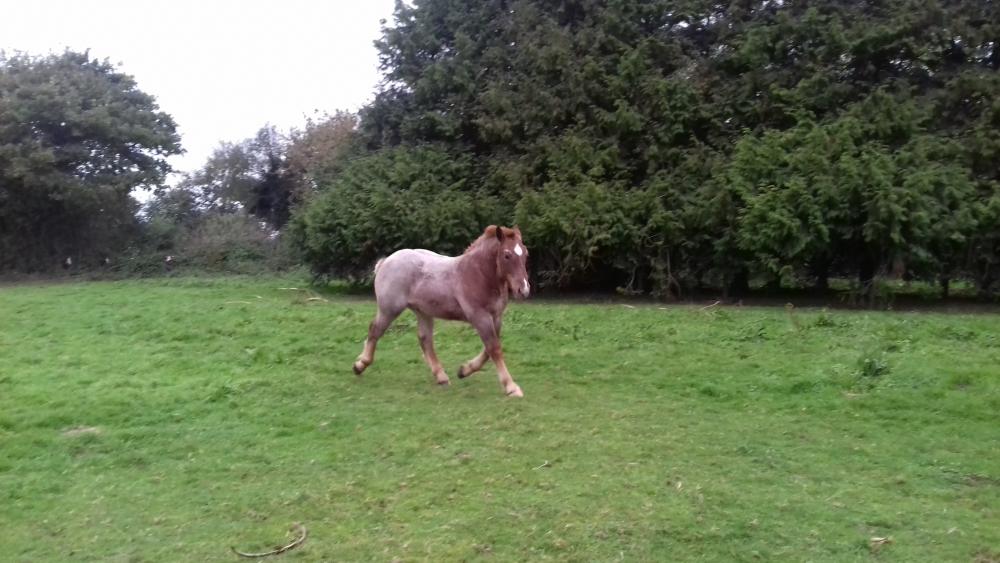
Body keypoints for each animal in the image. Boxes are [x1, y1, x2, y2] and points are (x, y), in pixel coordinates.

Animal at [352, 225, 531, 397]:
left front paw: (463, 370)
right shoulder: (480, 317)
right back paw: (360, 365)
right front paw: (511, 387)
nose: (523, 290)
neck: (479, 274)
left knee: (424, 339)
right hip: (389, 308)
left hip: (423, 311)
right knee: (375, 330)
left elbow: (489, 349)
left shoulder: (496, 317)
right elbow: (494, 348)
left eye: (526, 253)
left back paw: (441, 377)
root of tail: (386, 261)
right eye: (507, 255)